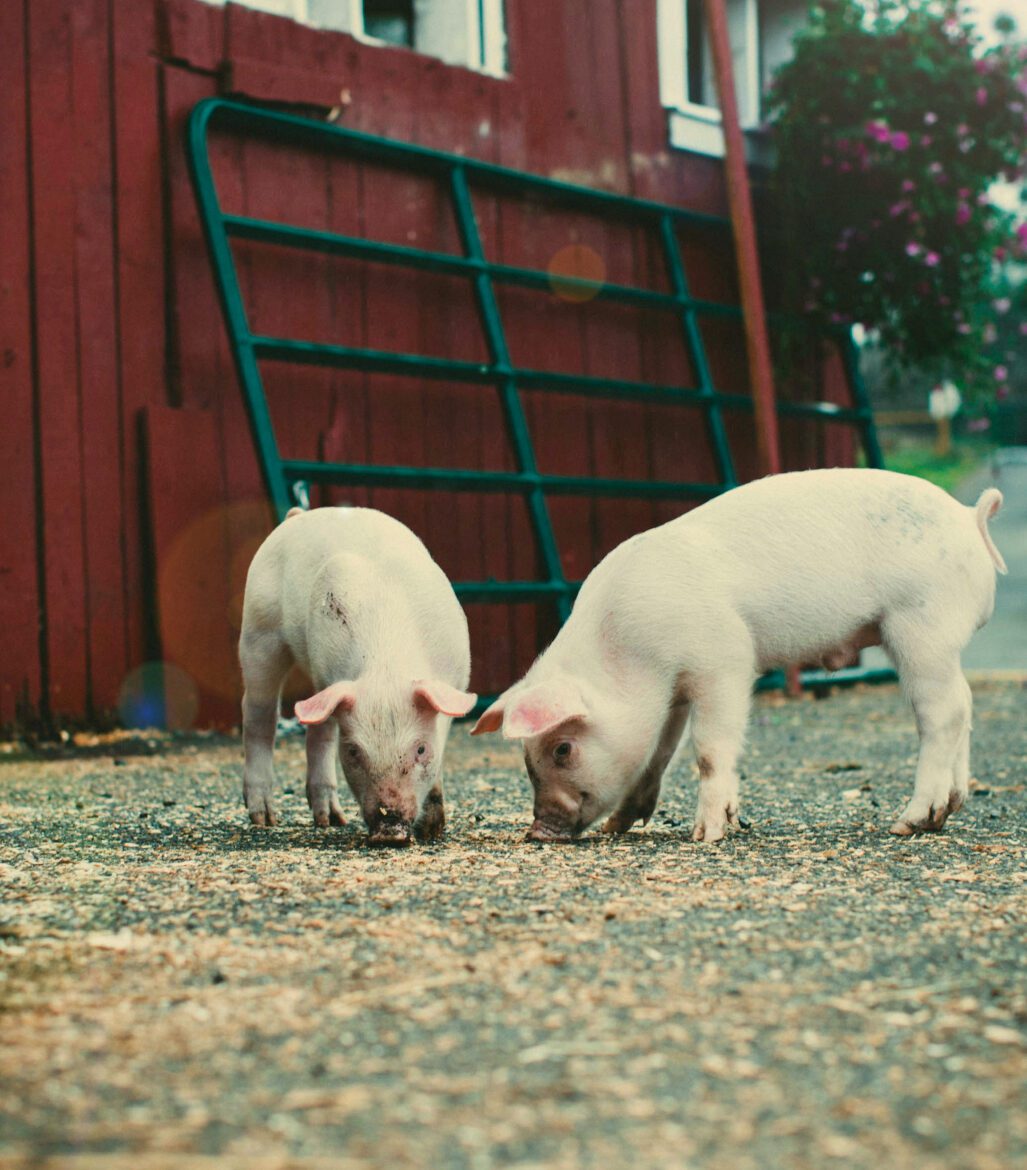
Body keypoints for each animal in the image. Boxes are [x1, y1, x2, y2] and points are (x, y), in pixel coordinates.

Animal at [239, 506, 476, 844]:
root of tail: (297, 515)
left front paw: (433, 830)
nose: (389, 830)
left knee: (318, 729)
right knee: (259, 713)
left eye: (420, 749)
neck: (387, 666)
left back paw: (331, 820)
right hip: (258, 629)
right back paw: (265, 818)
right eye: (353, 752)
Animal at [471, 468, 1006, 843]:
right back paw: (947, 811)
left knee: (943, 712)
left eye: (562, 748)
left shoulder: (723, 659)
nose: (537, 832)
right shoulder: (672, 693)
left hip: (919, 626)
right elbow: (658, 755)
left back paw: (910, 823)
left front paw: (706, 835)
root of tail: (969, 517)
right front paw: (617, 827)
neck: (629, 653)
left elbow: (709, 747)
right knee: (965, 705)